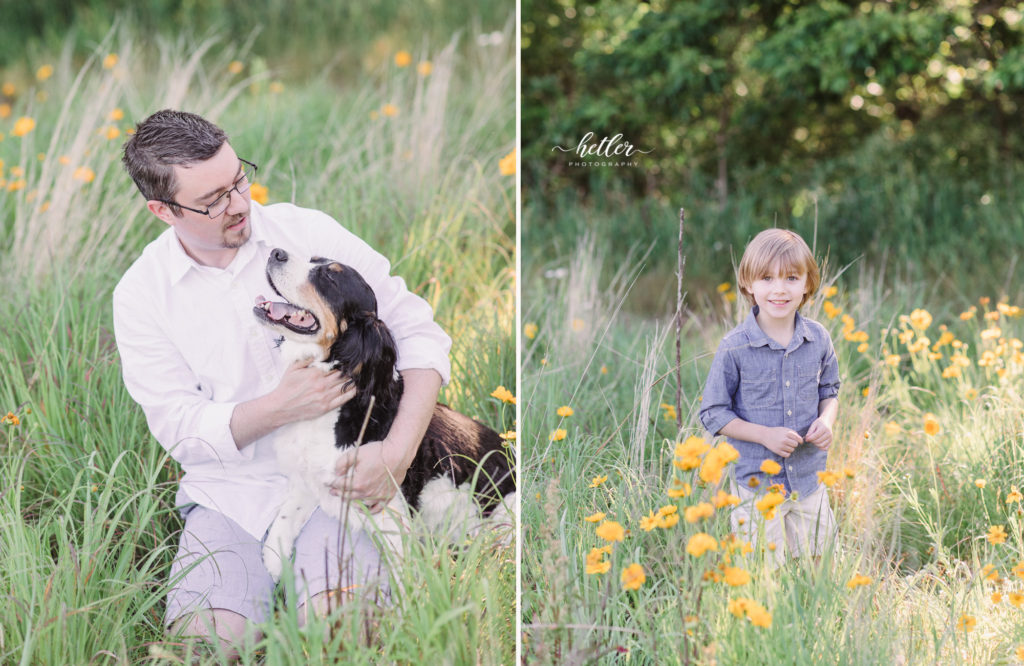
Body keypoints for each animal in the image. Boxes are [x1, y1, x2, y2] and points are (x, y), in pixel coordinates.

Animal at [252, 245, 516, 577]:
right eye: (314, 260)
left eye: (330, 278)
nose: (276, 252)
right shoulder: (307, 481)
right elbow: (280, 530)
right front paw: (276, 573)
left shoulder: (390, 513)